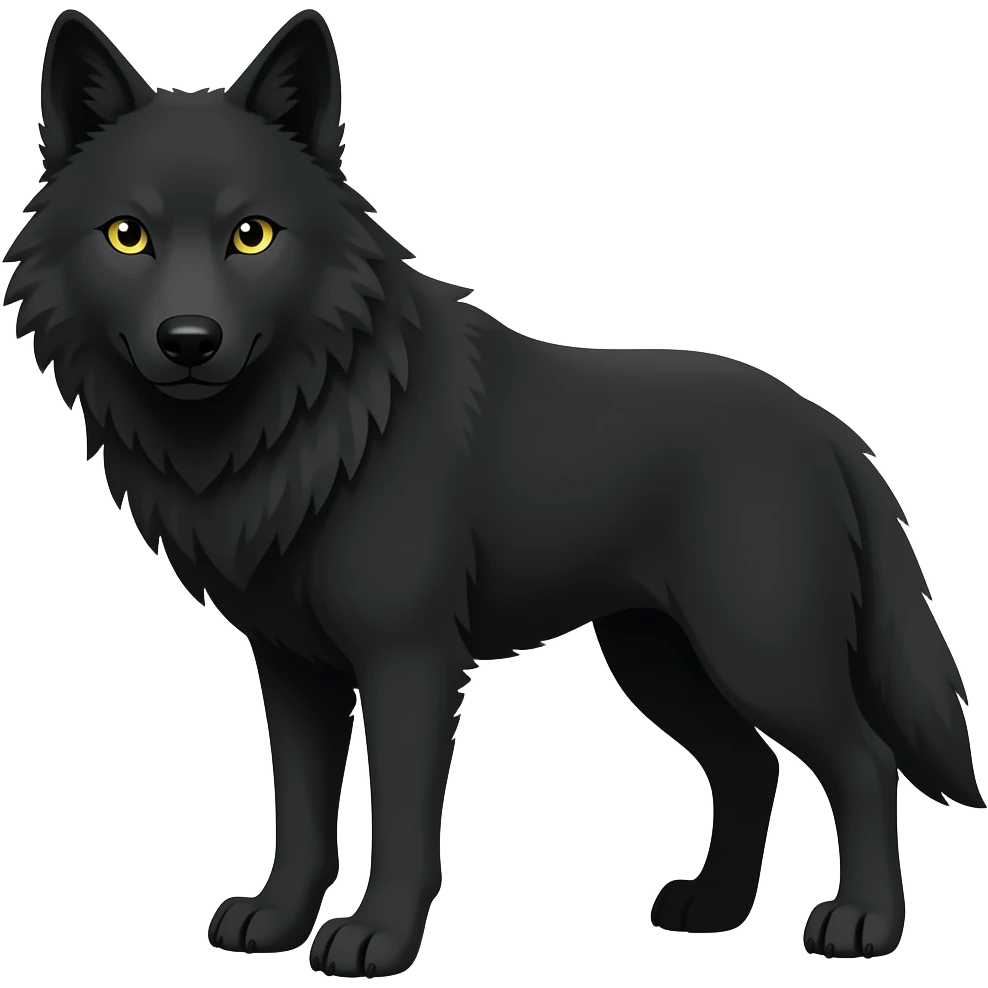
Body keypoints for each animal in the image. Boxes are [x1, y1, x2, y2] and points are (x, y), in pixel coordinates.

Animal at [4, 7, 982, 976]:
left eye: (253, 234)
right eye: (128, 235)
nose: (189, 341)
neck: (314, 426)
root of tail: (830, 431)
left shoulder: (408, 659)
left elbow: (402, 820)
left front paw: (376, 939)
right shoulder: (291, 668)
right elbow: (303, 815)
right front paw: (279, 923)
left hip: (760, 653)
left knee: (862, 762)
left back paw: (862, 924)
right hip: (658, 659)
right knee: (751, 767)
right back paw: (711, 910)